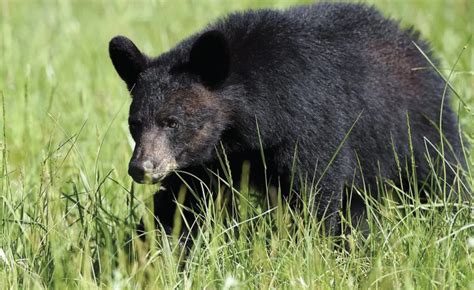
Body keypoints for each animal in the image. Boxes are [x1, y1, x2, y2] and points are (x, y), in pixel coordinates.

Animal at [108, 2, 462, 236]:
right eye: (135, 123)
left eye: (172, 122)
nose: (141, 167)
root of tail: (414, 39)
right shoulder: (205, 161)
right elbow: (180, 205)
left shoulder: (312, 125)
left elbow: (318, 190)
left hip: (418, 124)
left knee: (443, 175)